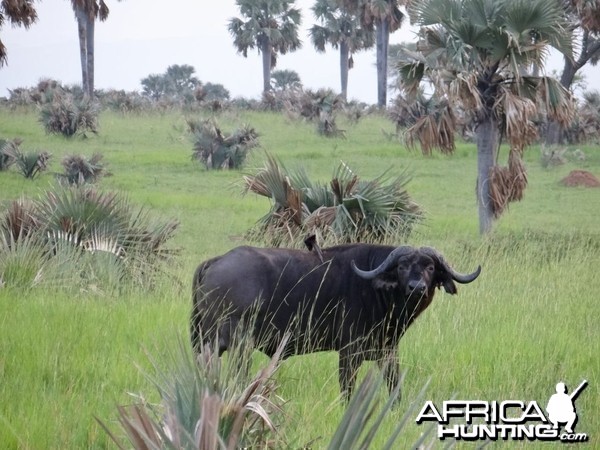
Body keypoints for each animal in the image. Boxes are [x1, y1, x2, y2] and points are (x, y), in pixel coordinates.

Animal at [190, 243, 480, 400]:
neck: (376, 290)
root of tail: (216, 261)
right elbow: (347, 389)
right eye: (402, 266)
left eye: (430, 267)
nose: (417, 287)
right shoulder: (349, 352)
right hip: (236, 344)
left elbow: (394, 386)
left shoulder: (388, 351)